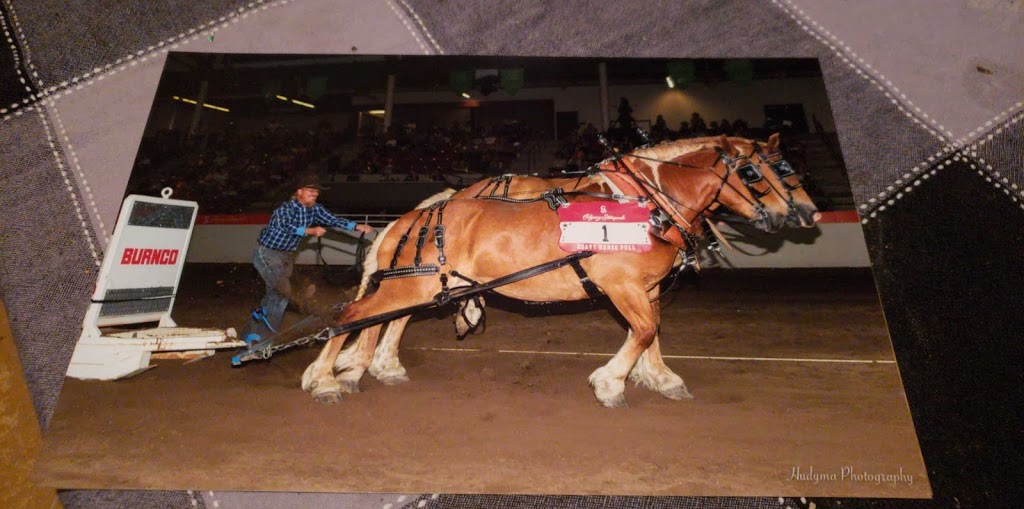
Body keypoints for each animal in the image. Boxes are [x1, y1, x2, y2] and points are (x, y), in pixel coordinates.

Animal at [299, 141, 770, 407]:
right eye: (754, 173)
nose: (779, 216)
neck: (645, 203)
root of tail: (413, 216)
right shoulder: (622, 286)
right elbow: (643, 330)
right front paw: (610, 384)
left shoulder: (643, 287)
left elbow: (650, 331)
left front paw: (657, 378)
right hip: (411, 284)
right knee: (350, 317)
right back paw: (326, 380)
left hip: (421, 284)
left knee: (380, 319)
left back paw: (368, 368)